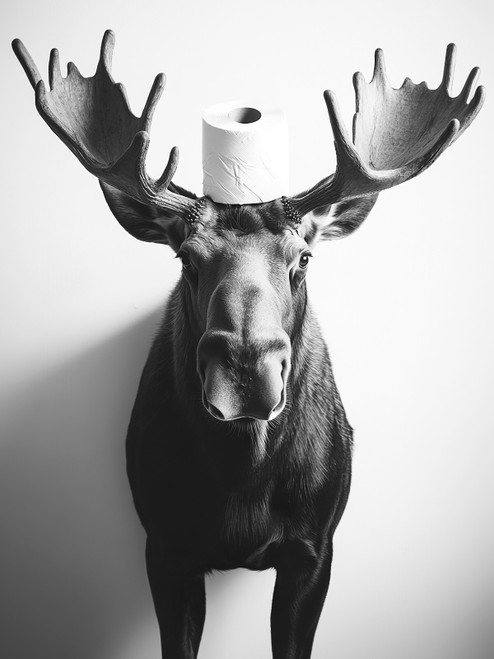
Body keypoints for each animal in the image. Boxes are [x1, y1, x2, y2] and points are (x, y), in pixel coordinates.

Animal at [13, 30, 484, 659]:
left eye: (302, 259)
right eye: (186, 259)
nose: (243, 372)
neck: (243, 477)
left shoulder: (314, 553)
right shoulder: (166, 549)